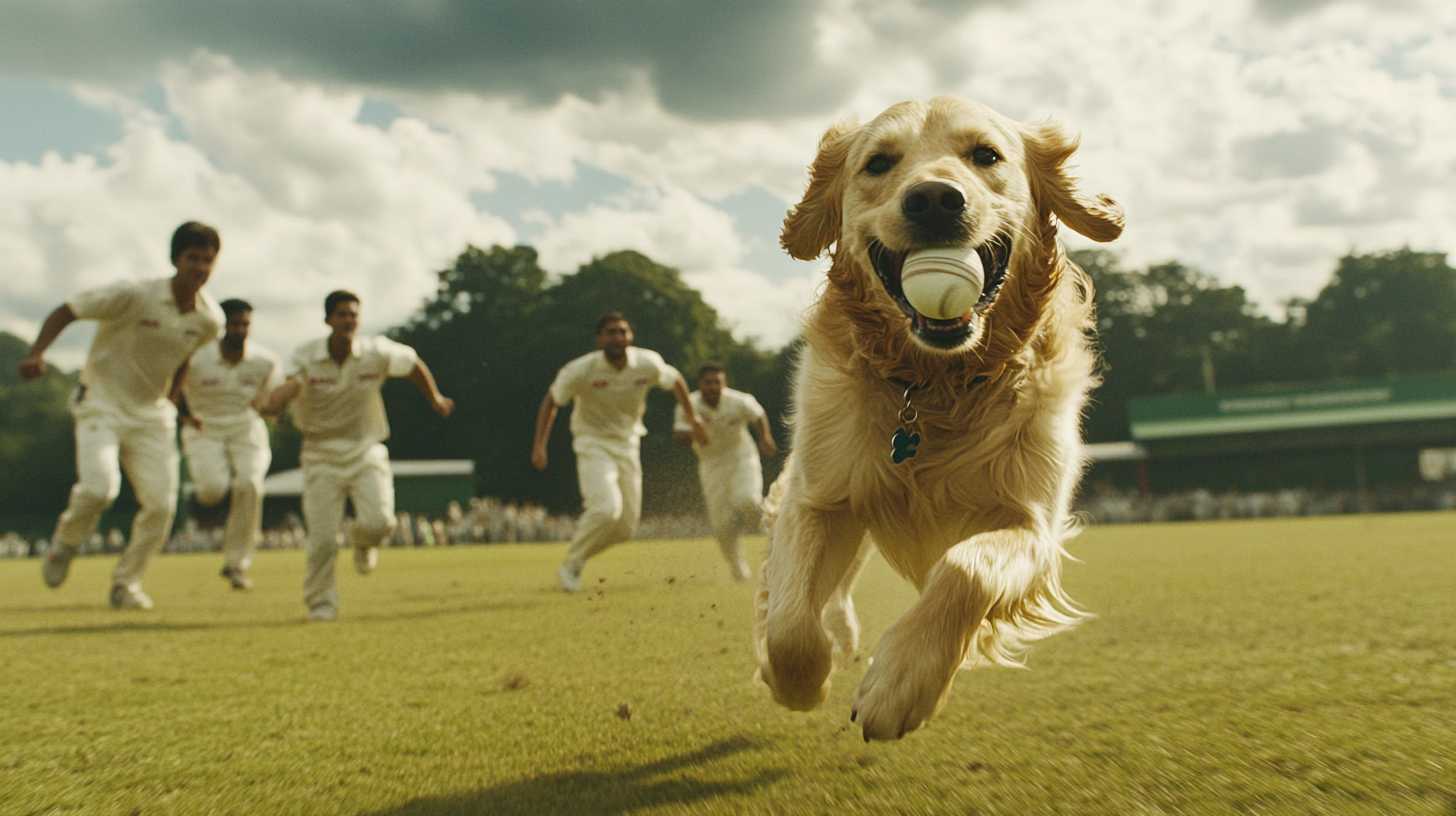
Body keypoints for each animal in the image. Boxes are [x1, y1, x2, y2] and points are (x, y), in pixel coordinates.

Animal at [757, 95, 1118, 740]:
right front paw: (797, 682)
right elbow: (791, 624)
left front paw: (899, 684)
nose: (932, 199)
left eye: (987, 155)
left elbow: (965, 570)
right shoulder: (820, 495)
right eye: (878, 162)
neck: (936, 383)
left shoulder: (1033, 524)